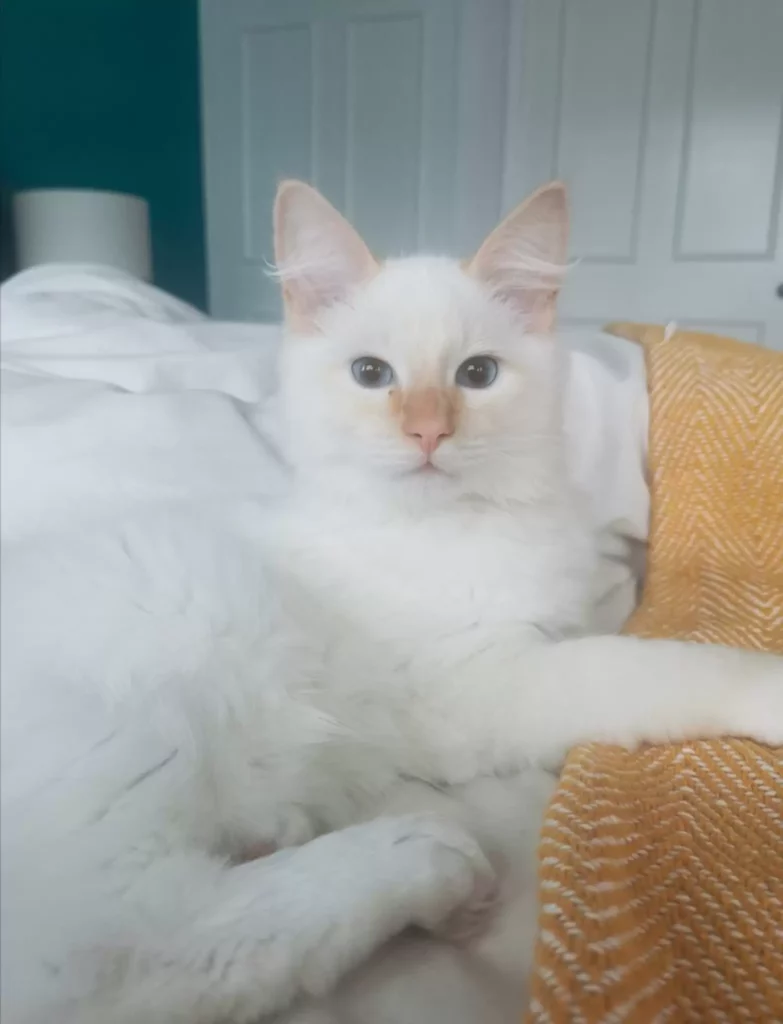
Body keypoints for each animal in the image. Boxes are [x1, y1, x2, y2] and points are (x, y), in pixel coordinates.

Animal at [1, 184, 781, 1024]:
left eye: (477, 373)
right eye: (371, 374)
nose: (427, 431)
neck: (458, 522)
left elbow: (615, 633)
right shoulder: (481, 684)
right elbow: (653, 667)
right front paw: (761, 686)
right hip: (136, 747)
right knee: (135, 954)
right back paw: (423, 866)